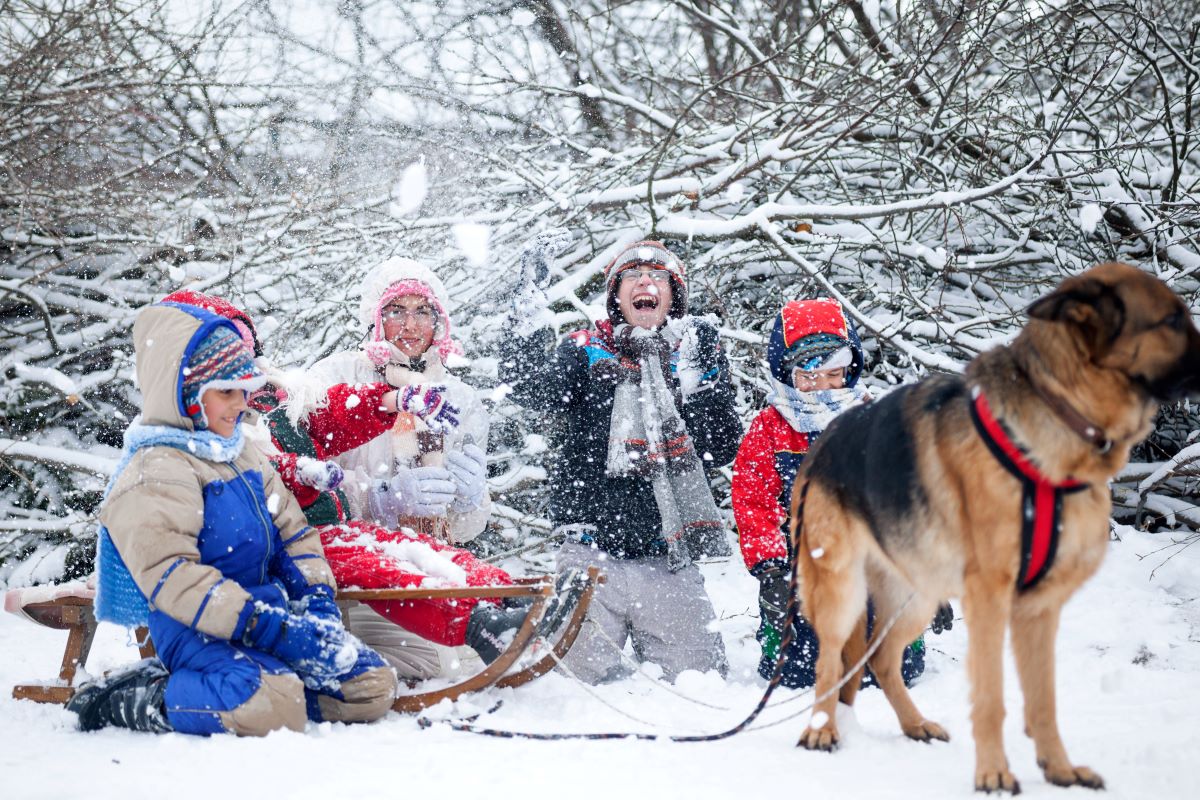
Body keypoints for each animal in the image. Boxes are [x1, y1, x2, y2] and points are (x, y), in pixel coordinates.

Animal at [787, 263, 1200, 796]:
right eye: (1172, 320)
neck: (1059, 415)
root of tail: (822, 442)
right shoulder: (989, 599)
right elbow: (991, 698)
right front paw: (993, 774)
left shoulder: (1039, 610)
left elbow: (1043, 700)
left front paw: (1060, 769)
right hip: (840, 590)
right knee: (830, 660)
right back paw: (822, 731)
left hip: (917, 597)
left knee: (880, 659)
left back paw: (913, 724)